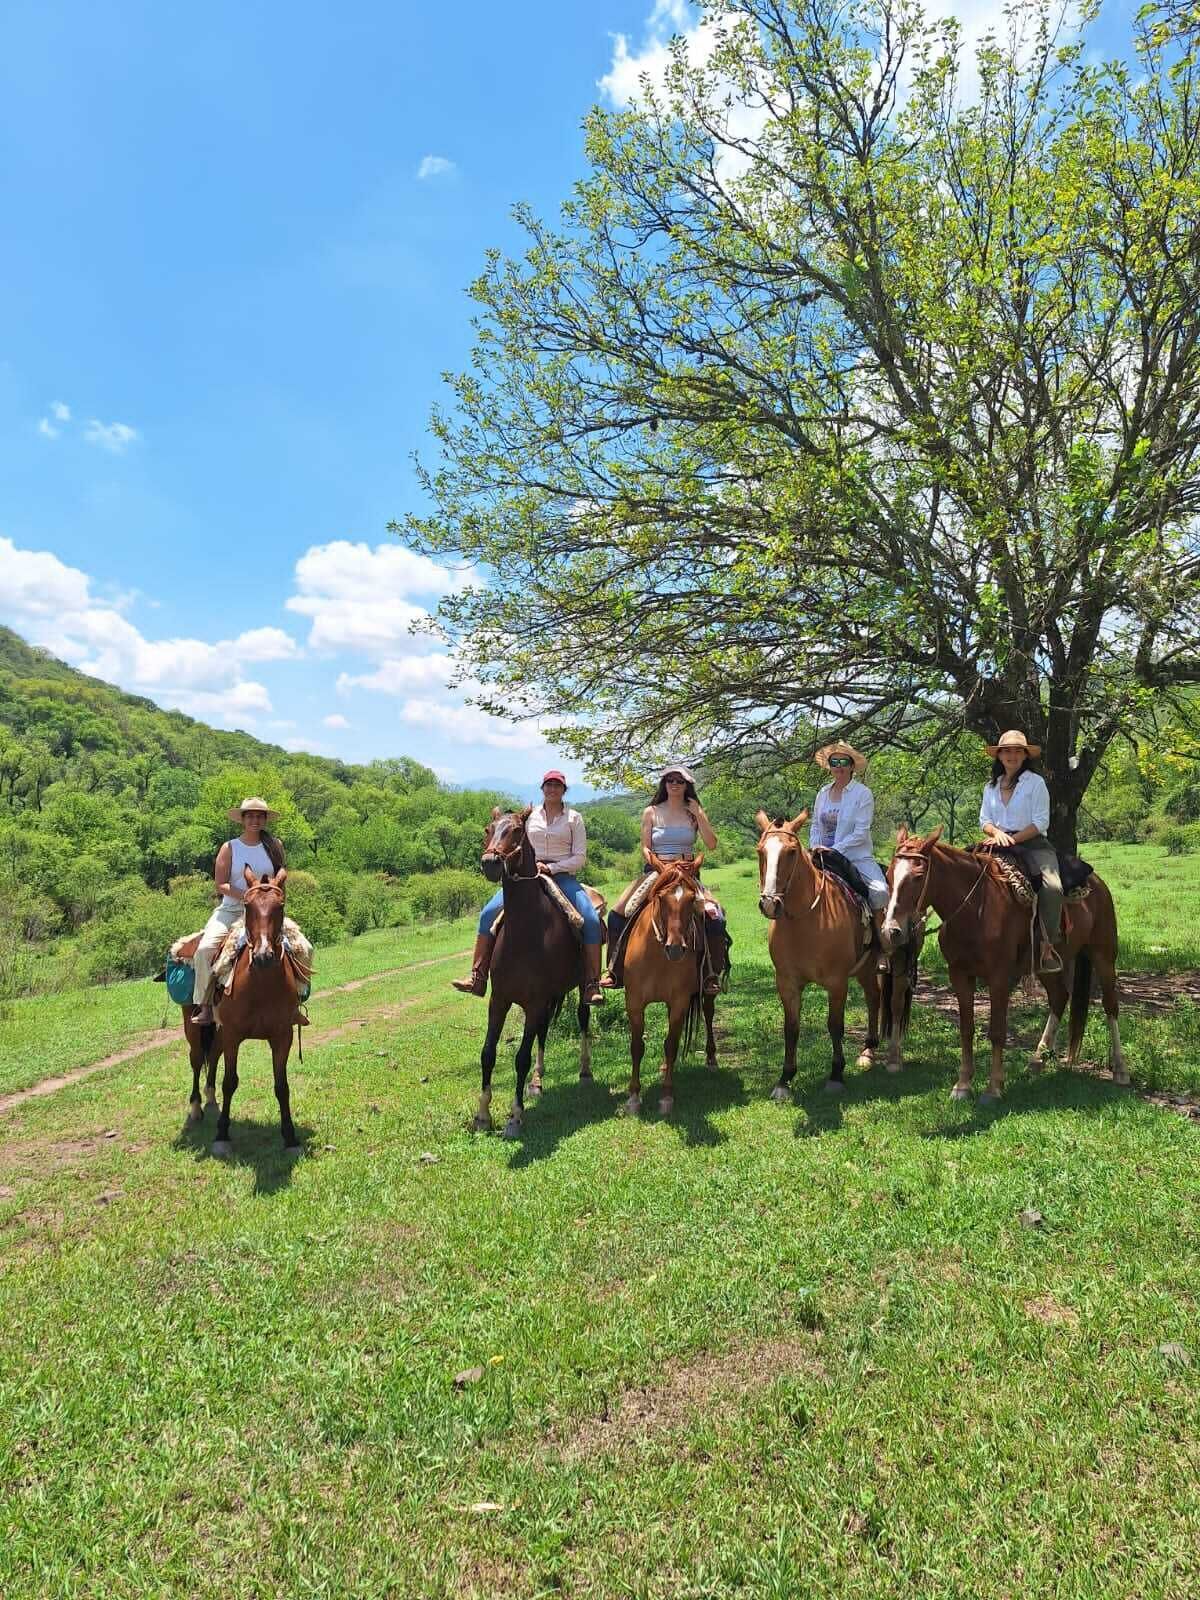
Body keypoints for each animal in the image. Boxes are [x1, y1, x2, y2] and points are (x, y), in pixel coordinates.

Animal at [210, 868, 305, 1155]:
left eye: (280, 906)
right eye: (247, 906)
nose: (264, 956)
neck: (260, 986)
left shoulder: (282, 1036)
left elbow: (282, 1086)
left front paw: (290, 1136)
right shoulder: (232, 1035)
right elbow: (229, 1082)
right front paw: (221, 1134)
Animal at [472, 807, 601, 1139]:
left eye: (517, 830)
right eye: (488, 829)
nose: (490, 863)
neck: (525, 932)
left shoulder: (533, 1003)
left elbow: (520, 1058)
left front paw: (515, 1117)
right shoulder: (500, 1000)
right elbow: (488, 1053)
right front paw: (482, 1116)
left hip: (579, 988)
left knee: (582, 1018)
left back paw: (584, 1071)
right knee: (543, 1031)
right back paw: (537, 1081)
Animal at [618, 854, 719, 1117]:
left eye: (692, 899)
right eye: (661, 898)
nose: (675, 949)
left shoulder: (680, 1001)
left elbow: (671, 1045)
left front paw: (666, 1096)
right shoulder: (634, 1002)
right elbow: (637, 1046)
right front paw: (634, 1097)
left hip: (706, 993)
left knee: (708, 1013)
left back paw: (711, 1059)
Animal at [756, 809, 883, 1097]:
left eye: (791, 852)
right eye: (760, 851)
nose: (769, 903)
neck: (806, 920)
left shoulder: (837, 983)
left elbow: (835, 1026)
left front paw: (836, 1075)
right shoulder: (787, 983)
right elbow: (791, 1028)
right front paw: (785, 1079)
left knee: (876, 998)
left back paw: (869, 1050)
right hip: (863, 970)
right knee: (873, 996)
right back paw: (868, 1051)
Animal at [881, 828, 1126, 1101]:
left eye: (918, 877)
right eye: (889, 875)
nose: (891, 931)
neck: (975, 908)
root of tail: (1097, 883)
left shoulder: (999, 977)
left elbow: (998, 1030)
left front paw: (994, 1087)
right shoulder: (959, 974)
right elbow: (966, 1029)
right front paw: (962, 1085)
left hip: (1104, 955)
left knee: (1110, 1006)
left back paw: (1120, 1069)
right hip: (1047, 966)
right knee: (1059, 997)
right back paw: (1037, 1060)